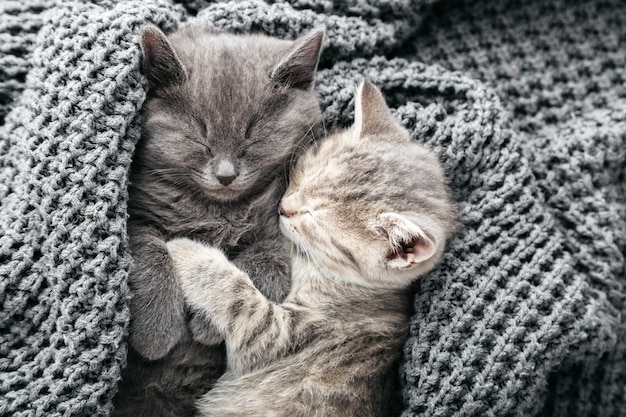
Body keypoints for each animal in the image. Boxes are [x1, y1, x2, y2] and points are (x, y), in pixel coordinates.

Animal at [112, 24, 324, 414]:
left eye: (253, 134)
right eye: (199, 134)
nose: (226, 174)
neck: (218, 211)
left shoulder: (281, 233)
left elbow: (264, 265)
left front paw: (207, 325)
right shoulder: (133, 214)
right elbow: (149, 249)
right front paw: (157, 332)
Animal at [166, 82, 456, 416]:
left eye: (315, 218)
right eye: (305, 171)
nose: (283, 207)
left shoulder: (279, 337)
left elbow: (239, 296)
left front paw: (188, 254)